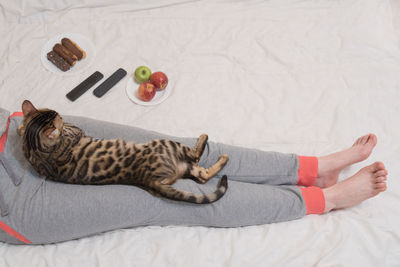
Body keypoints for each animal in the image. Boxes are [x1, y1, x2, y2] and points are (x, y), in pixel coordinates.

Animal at [17, 101, 228, 204]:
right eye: (58, 117)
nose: (61, 115)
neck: (35, 147)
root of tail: (149, 180)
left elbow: (22, 130)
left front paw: (19, 127)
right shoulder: (74, 131)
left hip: (182, 165)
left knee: (202, 175)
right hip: (167, 144)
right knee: (196, 157)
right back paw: (210, 144)